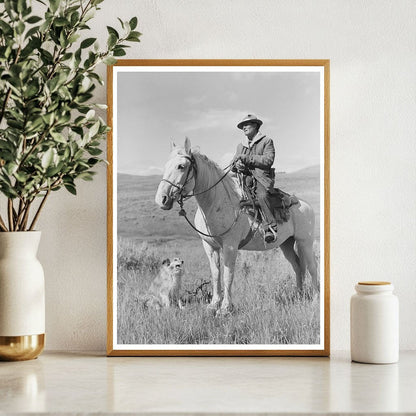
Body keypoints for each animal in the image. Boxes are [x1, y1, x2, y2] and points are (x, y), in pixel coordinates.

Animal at [154, 137, 316, 316]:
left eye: (181, 166)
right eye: (166, 165)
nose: (161, 199)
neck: (216, 202)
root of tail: (304, 205)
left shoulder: (230, 246)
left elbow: (227, 275)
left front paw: (225, 308)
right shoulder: (209, 246)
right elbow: (216, 274)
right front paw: (213, 305)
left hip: (305, 242)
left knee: (312, 266)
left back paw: (316, 299)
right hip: (286, 244)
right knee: (297, 266)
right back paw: (299, 295)